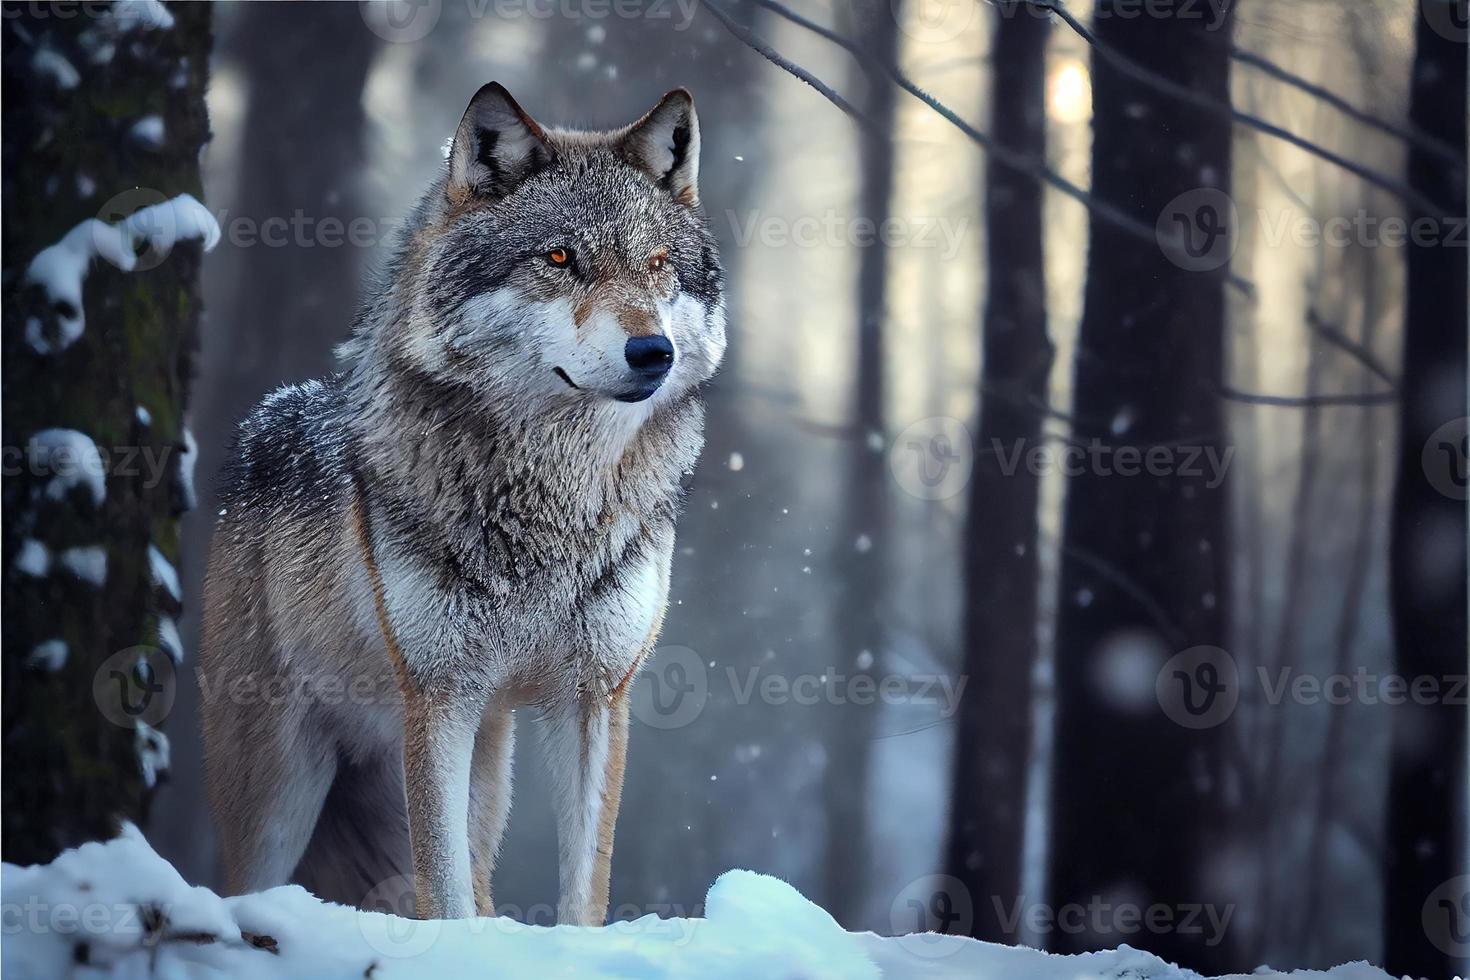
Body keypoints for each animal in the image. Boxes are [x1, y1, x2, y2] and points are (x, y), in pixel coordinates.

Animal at [198, 86, 726, 928]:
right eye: (559, 259)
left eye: (658, 266)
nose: (654, 353)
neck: (553, 504)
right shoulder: (440, 698)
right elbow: (442, 894)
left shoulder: (594, 697)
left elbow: (583, 889)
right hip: (282, 790)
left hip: (490, 754)